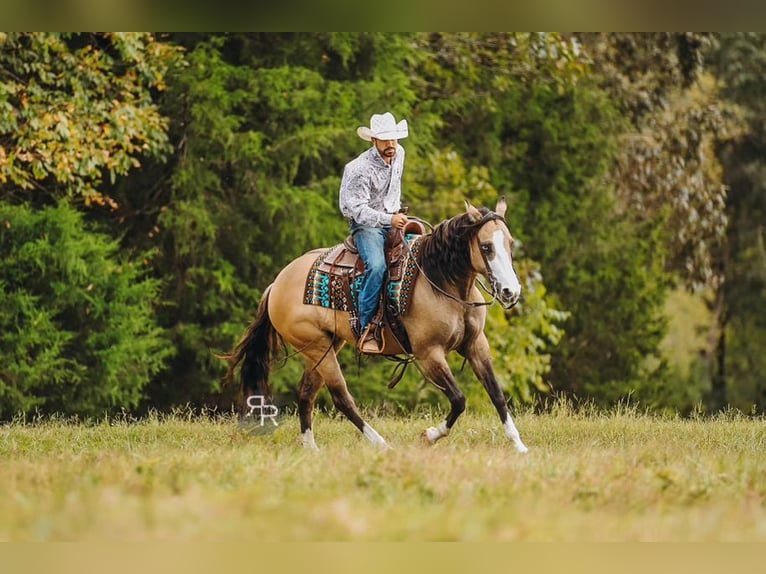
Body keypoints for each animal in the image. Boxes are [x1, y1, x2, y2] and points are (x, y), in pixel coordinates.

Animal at [220, 198, 529, 453]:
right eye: (486, 247)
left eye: (510, 244)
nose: (510, 292)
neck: (439, 278)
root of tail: (277, 284)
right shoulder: (429, 354)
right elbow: (459, 399)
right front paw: (428, 436)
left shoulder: (476, 345)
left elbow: (496, 394)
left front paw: (519, 446)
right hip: (319, 349)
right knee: (342, 398)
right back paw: (381, 444)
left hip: (325, 347)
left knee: (306, 393)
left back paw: (312, 449)